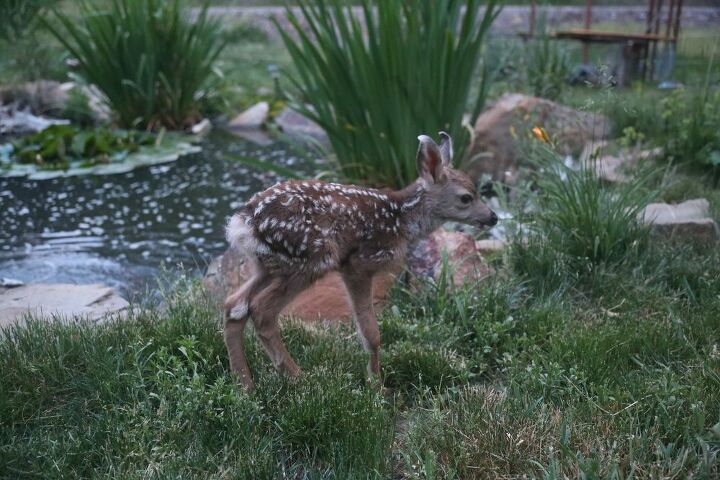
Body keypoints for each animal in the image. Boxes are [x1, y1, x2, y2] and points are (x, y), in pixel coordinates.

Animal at [224, 132, 496, 390]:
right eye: (466, 197)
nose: (493, 217)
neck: (401, 220)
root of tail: (245, 221)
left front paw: (375, 381)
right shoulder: (358, 263)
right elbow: (371, 332)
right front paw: (377, 386)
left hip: (269, 264)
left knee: (234, 304)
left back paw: (245, 385)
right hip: (312, 257)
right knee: (261, 310)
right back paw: (299, 378)